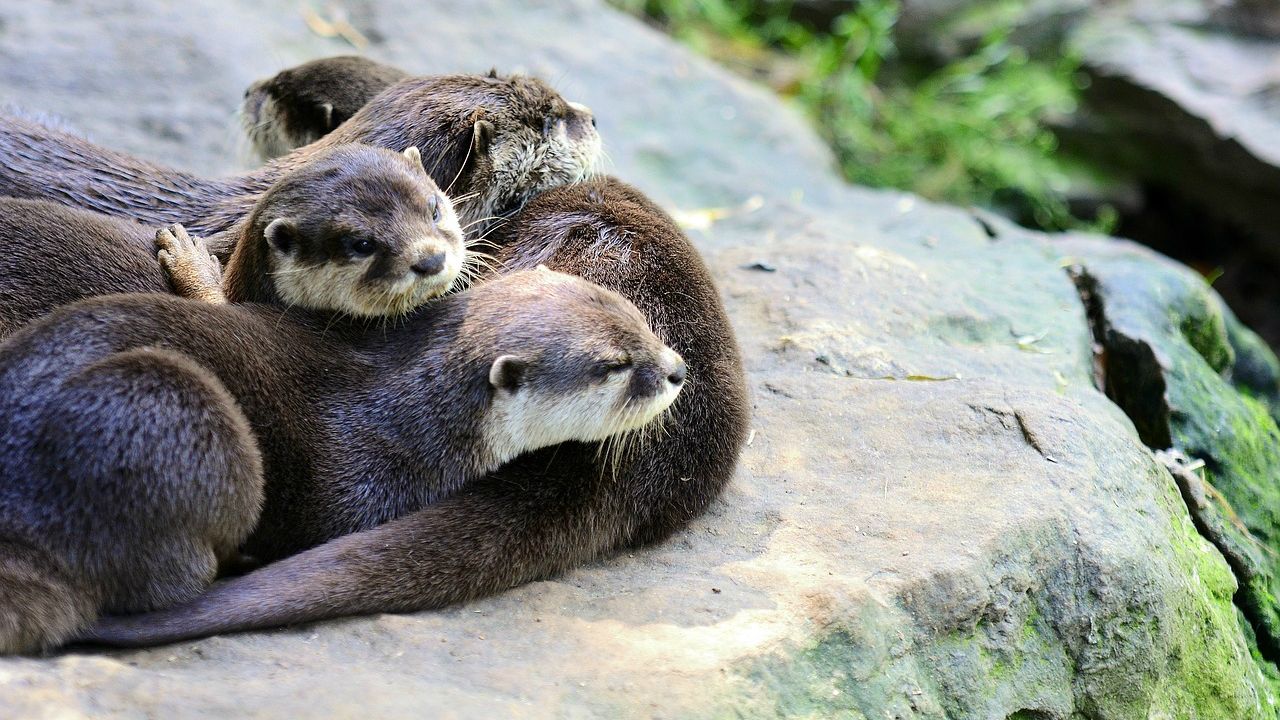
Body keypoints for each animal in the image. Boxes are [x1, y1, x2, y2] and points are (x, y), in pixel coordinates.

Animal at [2, 267, 680, 650]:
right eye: (613, 366)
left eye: (637, 316)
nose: (676, 370)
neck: (409, 415)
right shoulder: (365, 484)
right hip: (169, 411)